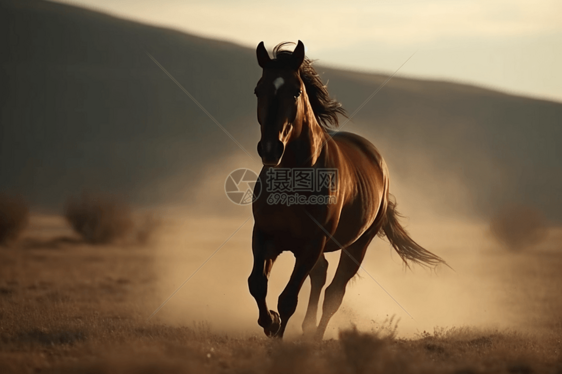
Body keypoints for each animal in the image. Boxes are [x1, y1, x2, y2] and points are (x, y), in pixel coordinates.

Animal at [247, 41, 444, 338]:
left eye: (296, 92)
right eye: (259, 90)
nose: (270, 150)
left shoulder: (311, 244)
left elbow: (288, 298)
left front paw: (278, 333)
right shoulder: (264, 236)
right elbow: (257, 284)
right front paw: (270, 322)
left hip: (358, 246)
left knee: (334, 292)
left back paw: (315, 336)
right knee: (321, 277)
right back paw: (307, 329)